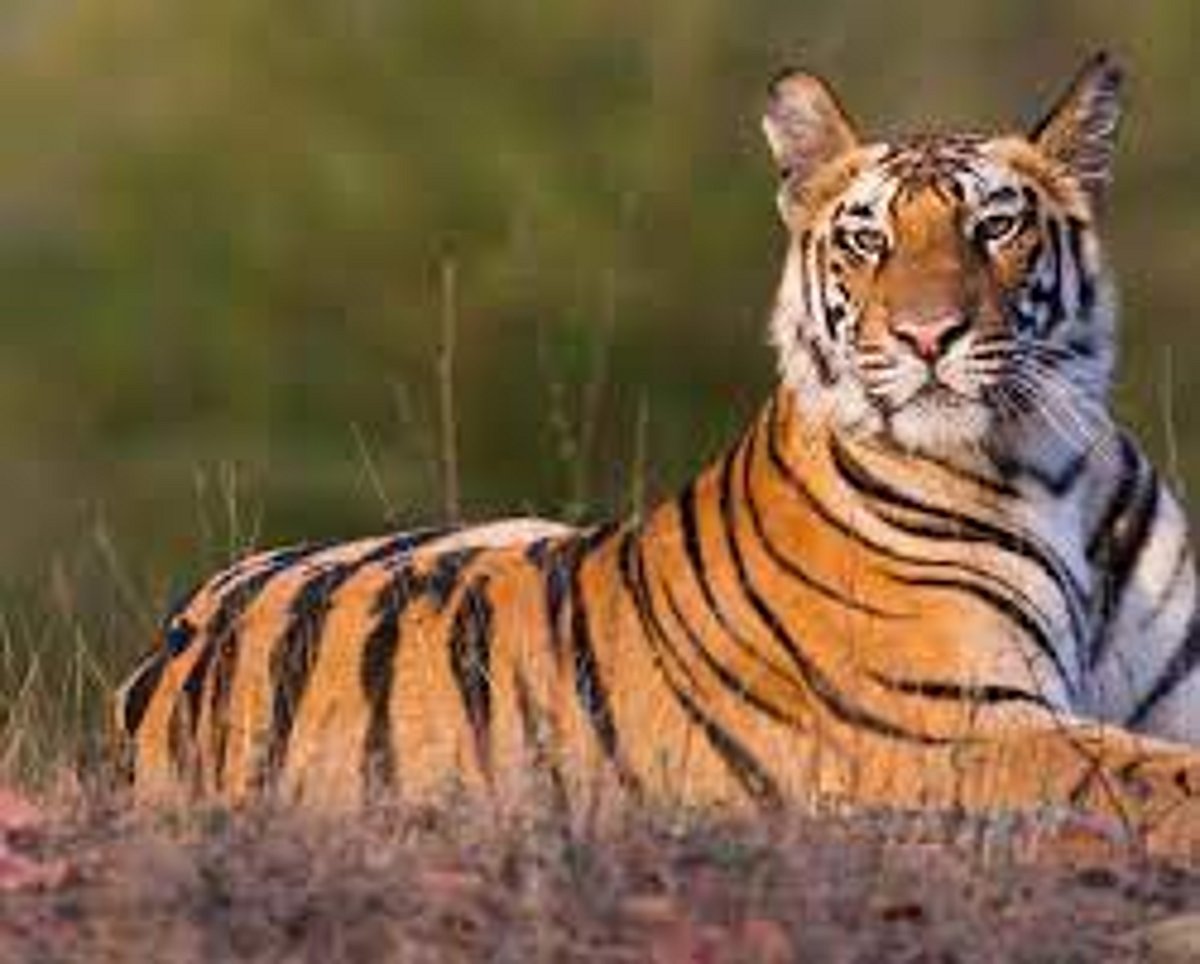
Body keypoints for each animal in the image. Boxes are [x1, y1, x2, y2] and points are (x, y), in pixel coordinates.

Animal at [116, 52, 1200, 850]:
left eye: (995, 226)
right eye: (867, 241)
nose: (927, 336)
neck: (1048, 465)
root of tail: (162, 657)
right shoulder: (952, 722)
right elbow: (1150, 777)